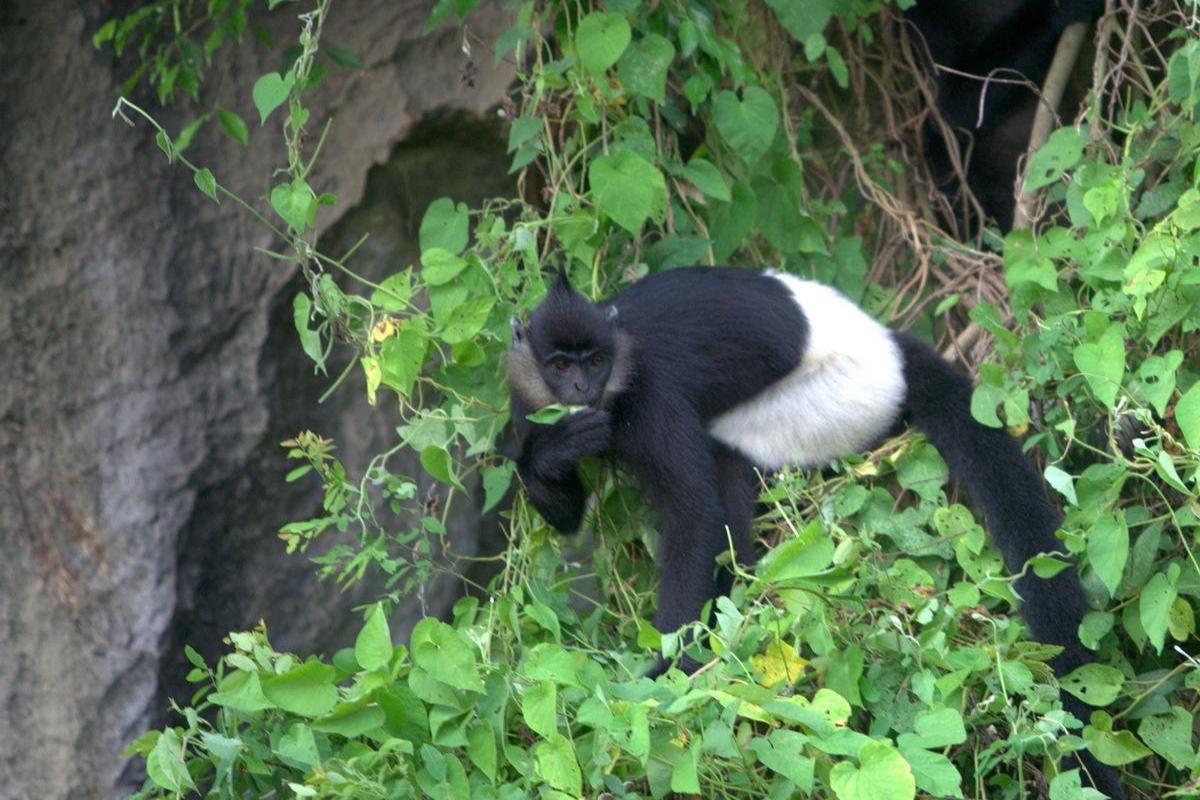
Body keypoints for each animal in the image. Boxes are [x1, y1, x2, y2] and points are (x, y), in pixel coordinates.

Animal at [506, 266, 1123, 796]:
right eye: (559, 365)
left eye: (594, 361)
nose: (581, 387)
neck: (619, 375)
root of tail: (888, 345)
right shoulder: (525, 395)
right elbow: (567, 511)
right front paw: (556, 452)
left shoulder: (652, 396)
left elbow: (695, 512)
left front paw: (668, 677)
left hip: (834, 402)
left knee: (728, 469)